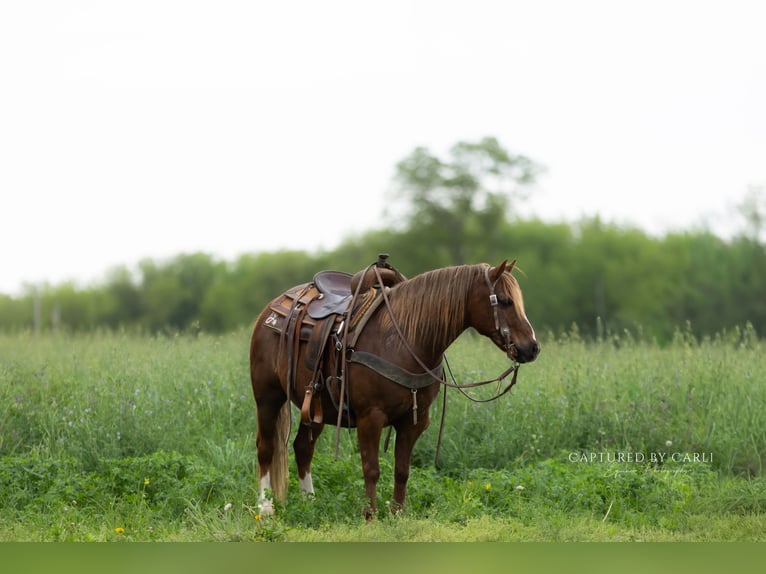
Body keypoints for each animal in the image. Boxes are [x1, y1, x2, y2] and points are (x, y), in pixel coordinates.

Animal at [249, 257, 540, 519]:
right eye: (504, 300)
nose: (532, 347)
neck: (403, 341)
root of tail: (272, 309)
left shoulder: (414, 420)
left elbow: (402, 470)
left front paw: (398, 513)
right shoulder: (370, 418)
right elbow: (371, 468)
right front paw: (370, 515)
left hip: (317, 406)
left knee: (302, 447)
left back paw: (310, 502)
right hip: (268, 398)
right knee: (266, 448)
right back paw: (265, 508)